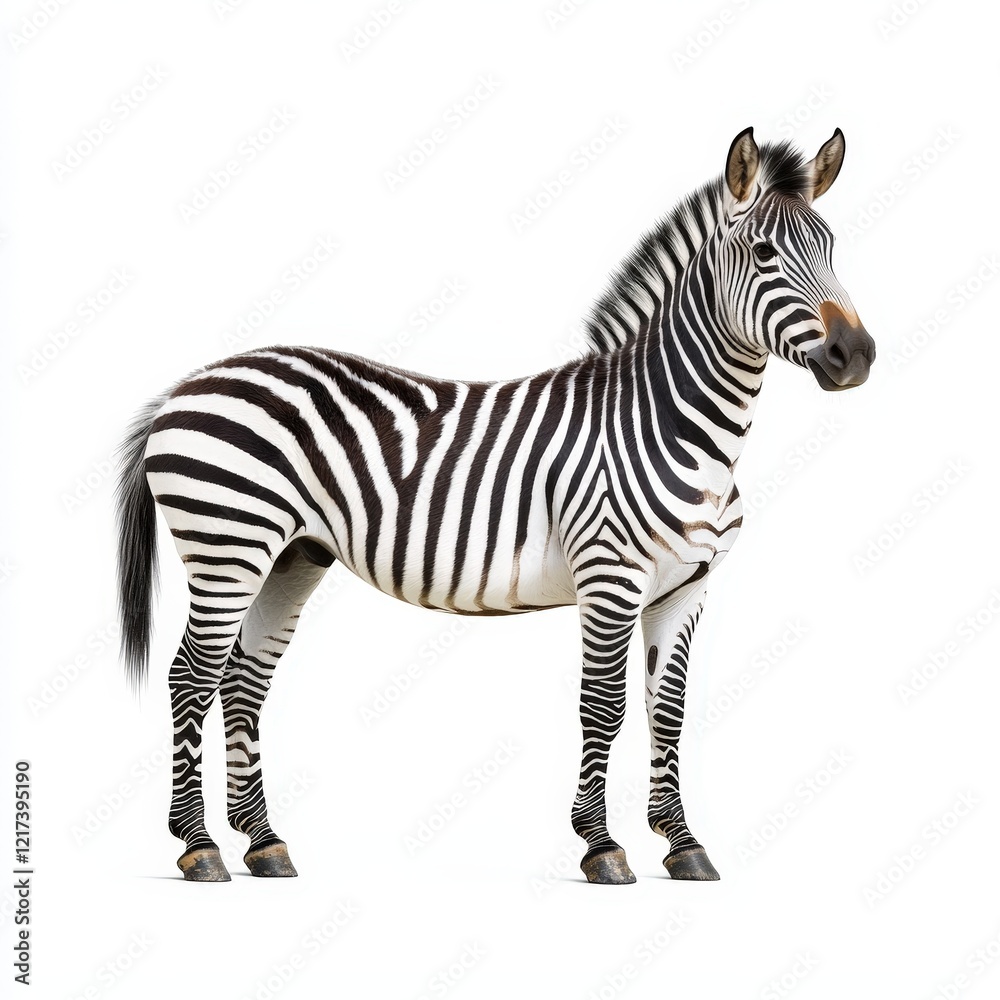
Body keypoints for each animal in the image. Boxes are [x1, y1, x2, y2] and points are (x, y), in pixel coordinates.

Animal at [116, 127, 874, 884]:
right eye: (764, 254)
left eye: (832, 248)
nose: (858, 354)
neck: (678, 426)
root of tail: (183, 386)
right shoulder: (611, 576)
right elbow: (603, 706)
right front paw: (602, 845)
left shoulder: (687, 586)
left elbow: (669, 711)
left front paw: (683, 843)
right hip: (228, 547)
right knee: (190, 676)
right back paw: (199, 845)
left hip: (291, 555)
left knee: (243, 681)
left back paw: (263, 842)